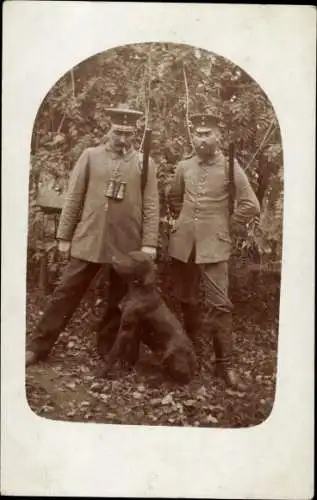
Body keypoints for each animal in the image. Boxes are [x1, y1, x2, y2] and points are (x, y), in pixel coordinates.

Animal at [103, 252, 196, 384]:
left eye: (134, 259)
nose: (113, 257)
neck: (139, 291)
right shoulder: (132, 331)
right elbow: (131, 354)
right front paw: (127, 369)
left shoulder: (126, 329)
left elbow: (113, 353)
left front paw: (100, 372)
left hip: (173, 356)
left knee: (179, 378)